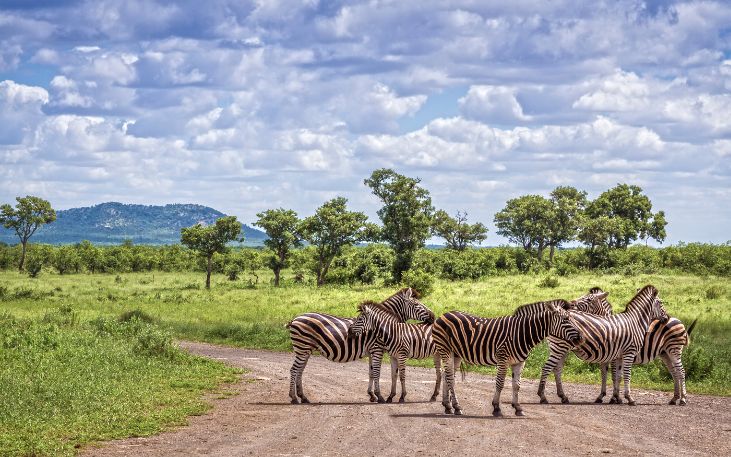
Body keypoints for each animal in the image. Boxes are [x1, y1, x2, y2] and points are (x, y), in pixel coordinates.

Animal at [286, 286, 434, 404]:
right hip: (302, 348)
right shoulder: (377, 349)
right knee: (294, 370)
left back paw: (302, 397)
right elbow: (377, 372)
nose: (433, 317)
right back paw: (294, 398)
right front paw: (379, 396)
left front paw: (372, 395)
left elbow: (371, 372)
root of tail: (295, 319)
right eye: (416, 304)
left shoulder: (372, 351)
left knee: (300, 371)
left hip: (305, 350)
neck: (383, 326)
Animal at [434, 300, 584, 416]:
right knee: (449, 377)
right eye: (566, 320)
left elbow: (516, 385)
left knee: (447, 375)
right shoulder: (503, 359)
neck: (522, 333)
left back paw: (448, 406)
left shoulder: (519, 362)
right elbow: (500, 383)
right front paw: (496, 407)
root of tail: (444, 314)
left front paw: (518, 408)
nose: (581, 338)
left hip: (456, 354)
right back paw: (457, 407)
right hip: (446, 350)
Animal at [532, 284, 668, 406]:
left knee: (557, 369)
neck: (635, 322)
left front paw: (615, 397)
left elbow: (616, 375)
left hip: (561, 348)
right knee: (547, 368)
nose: (667, 318)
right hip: (559, 347)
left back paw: (563, 396)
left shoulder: (616, 355)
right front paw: (627, 398)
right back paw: (542, 396)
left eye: (588, 299)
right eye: (661, 303)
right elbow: (624, 375)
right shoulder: (628, 352)